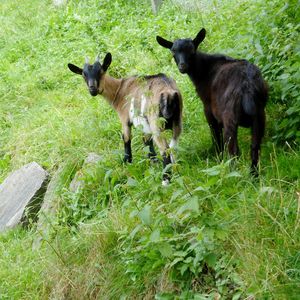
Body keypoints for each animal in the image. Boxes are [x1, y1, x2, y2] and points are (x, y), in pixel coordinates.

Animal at [67, 53, 182, 185]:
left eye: (101, 71)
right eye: (84, 75)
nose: (92, 89)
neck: (119, 90)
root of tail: (169, 93)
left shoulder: (125, 119)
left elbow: (126, 139)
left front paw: (126, 162)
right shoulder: (145, 124)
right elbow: (147, 142)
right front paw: (153, 162)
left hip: (156, 124)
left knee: (165, 149)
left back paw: (165, 181)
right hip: (177, 122)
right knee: (174, 146)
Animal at [156, 27, 268, 176]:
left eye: (192, 50)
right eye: (173, 51)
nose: (182, 66)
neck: (204, 70)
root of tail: (248, 85)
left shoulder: (209, 111)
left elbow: (216, 139)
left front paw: (219, 161)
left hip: (230, 118)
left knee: (233, 150)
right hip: (259, 115)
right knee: (255, 147)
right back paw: (253, 176)